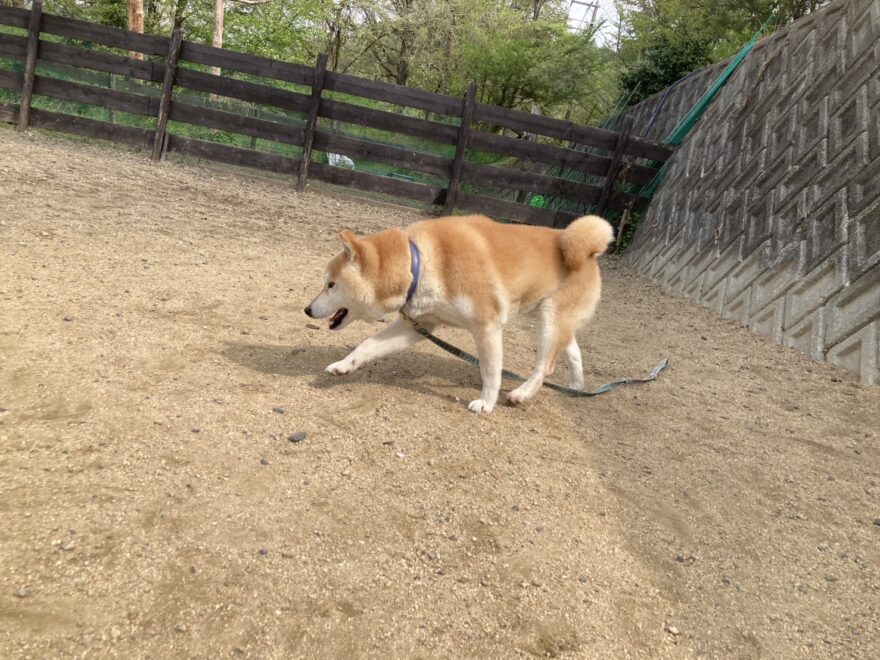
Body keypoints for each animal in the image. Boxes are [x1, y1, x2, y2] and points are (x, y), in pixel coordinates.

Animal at [305, 214, 614, 413]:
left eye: (330, 285)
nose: (307, 309)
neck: (420, 263)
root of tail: (588, 251)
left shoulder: (487, 326)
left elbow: (491, 370)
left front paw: (486, 403)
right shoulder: (418, 325)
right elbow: (368, 345)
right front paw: (344, 365)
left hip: (549, 319)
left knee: (545, 365)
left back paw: (521, 394)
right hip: (554, 318)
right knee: (572, 349)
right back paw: (575, 386)